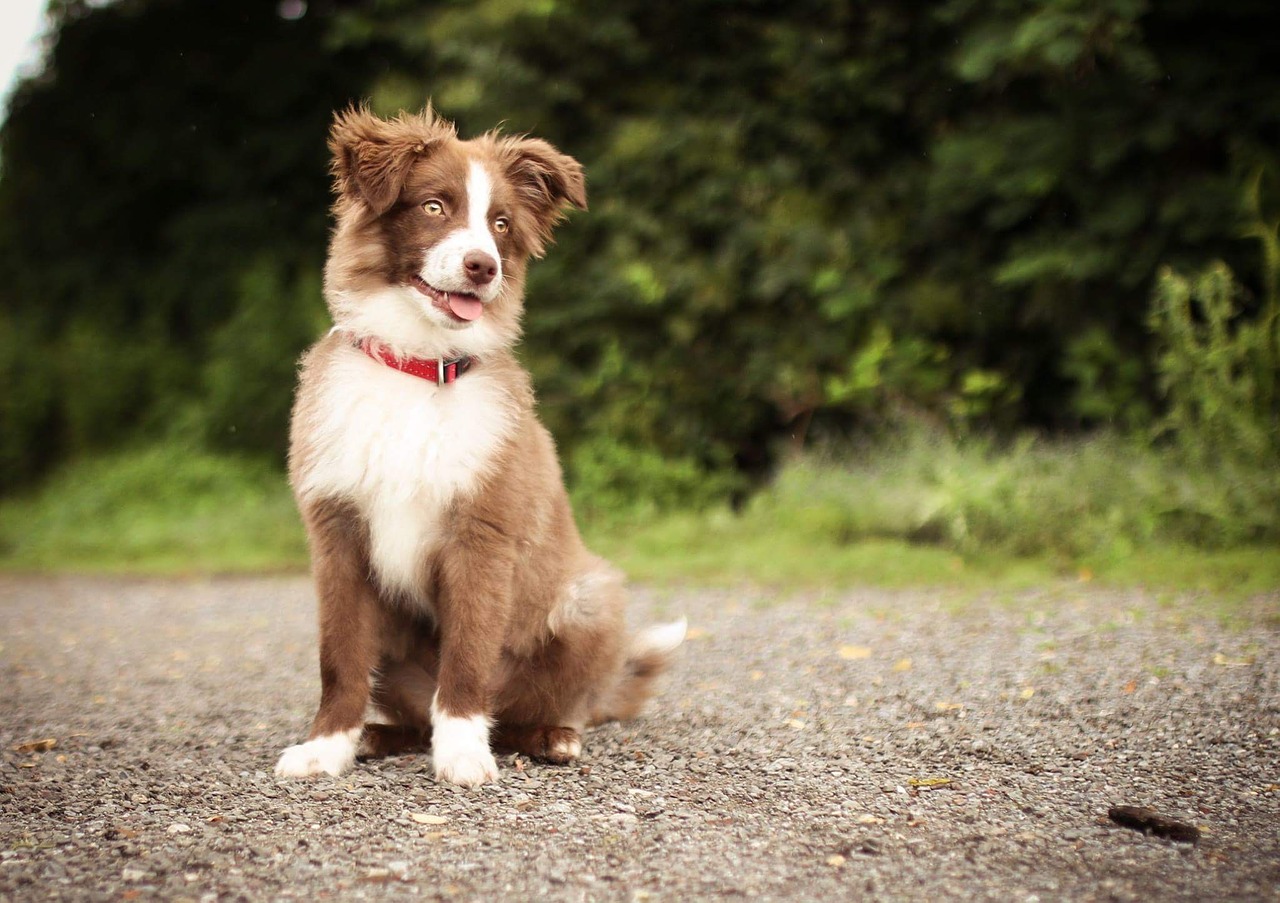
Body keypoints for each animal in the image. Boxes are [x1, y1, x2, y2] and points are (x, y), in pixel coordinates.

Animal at [275, 103, 686, 783]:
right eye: (433, 206)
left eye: (500, 224)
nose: (483, 267)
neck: (419, 366)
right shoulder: (337, 532)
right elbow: (339, 655)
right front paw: (327, 746)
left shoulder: (482, 535)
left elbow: (467, 657)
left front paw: (465, 754)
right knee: (416, 716)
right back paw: (379, 736)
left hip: (589, 600)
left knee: (532, 705)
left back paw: (550, 737)